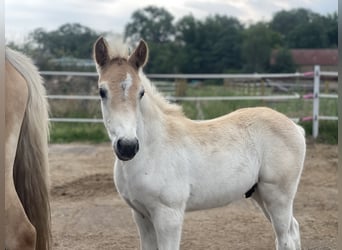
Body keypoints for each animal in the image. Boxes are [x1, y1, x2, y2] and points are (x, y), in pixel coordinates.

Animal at [93, 37, 304, 250]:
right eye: (102, 92)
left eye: (141, 93)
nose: (127, 146)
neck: (152, 151)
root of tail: (295, 127)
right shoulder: (141, 215)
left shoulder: (169, 215)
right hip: (259, 194)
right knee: (293, 230)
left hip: (278, 196)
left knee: (285, 238)